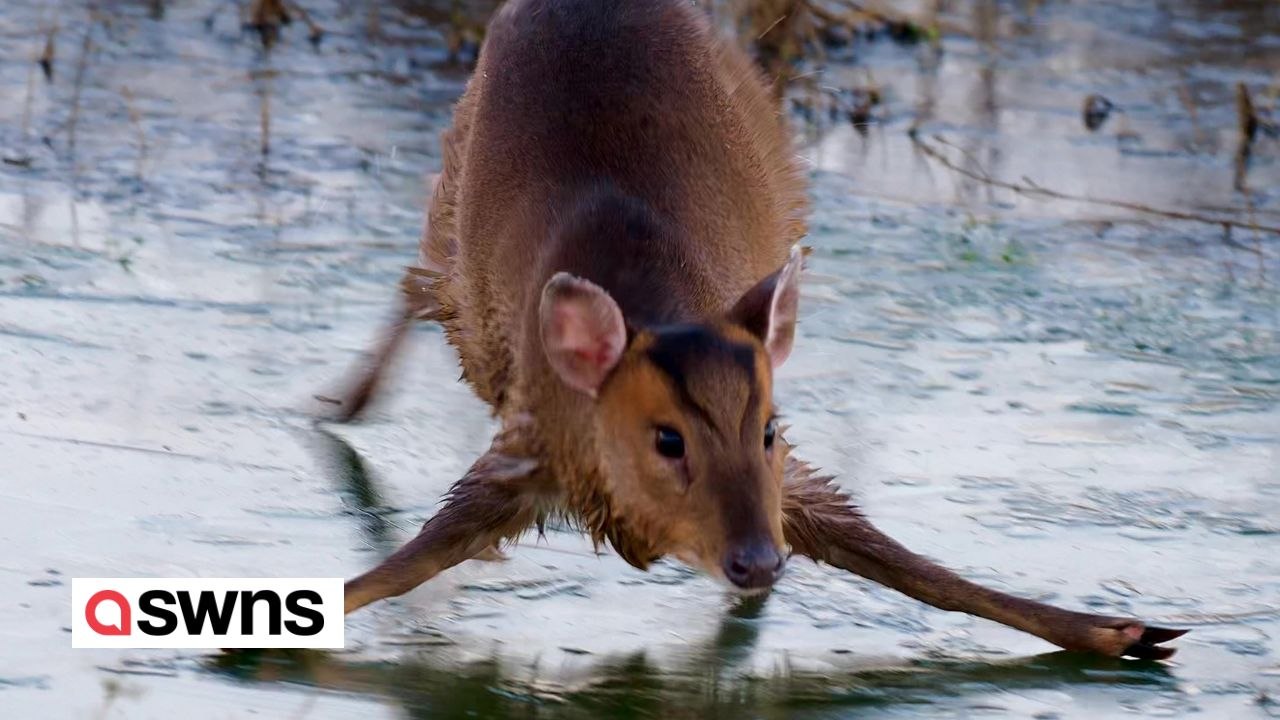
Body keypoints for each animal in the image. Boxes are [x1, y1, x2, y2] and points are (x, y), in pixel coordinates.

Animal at [325, 0, 1182, 655]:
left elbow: (908, 563)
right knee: (420, 282)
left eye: (768, 429)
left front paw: (1125, 630)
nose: (757, 562)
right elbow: (395, 568)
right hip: (462, 211)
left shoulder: (783, 479)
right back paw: (344, 399)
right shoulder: (529, 444)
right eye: (667, 439)